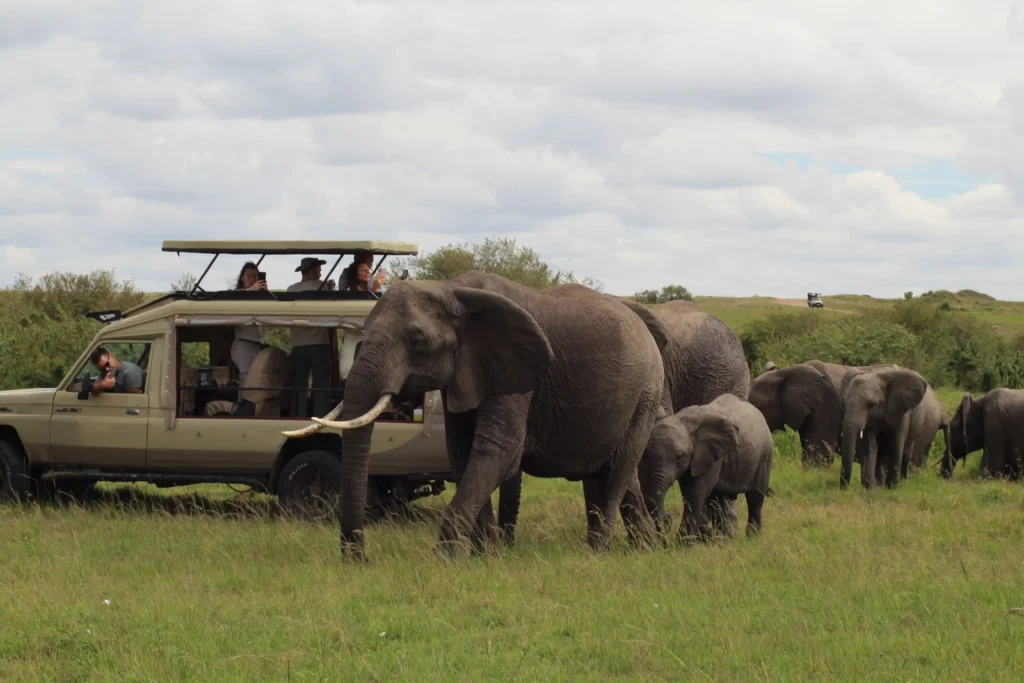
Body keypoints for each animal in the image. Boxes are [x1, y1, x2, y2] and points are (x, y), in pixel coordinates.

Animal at [282, 271, 666, 560]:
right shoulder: (467, 372)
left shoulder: (518, 372)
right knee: (615, 474)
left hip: (645, 394)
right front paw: (486, 558)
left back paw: (597, 553)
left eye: (419, 342)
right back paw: (644, 550)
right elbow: (462, 453)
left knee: (617, 473)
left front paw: (443, 561)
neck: (452, 288)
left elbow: (497, 450)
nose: (358, 558)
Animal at [637, 393, 774, 542]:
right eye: (645, 455)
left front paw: (683, 542)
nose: (668, 517)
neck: (683, 421)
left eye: (679, 457)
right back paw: (722, 539)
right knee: (717, 500)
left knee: (755, 497)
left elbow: (695, 493)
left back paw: (752, 537)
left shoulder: (710, 456)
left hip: (765, 454)